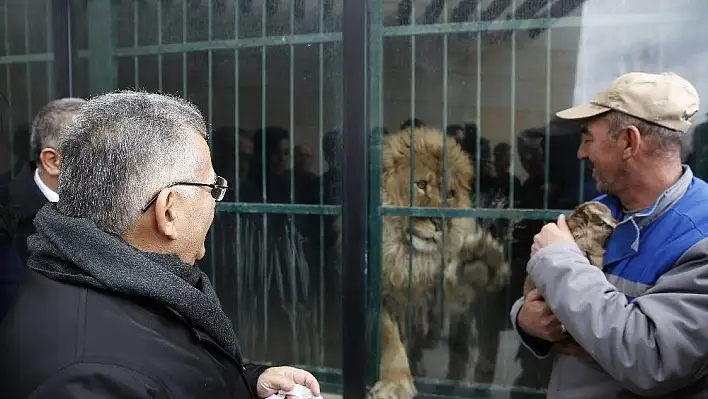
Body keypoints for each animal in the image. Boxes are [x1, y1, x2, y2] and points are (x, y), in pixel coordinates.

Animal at [368, 126, 512, 398]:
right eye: (422, 184)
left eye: (451, 194)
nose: (440, 221)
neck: (410, 257)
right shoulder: (381, 294)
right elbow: (389, 337)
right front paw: (396, 383)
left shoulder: (437, 298)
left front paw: (477, 264)